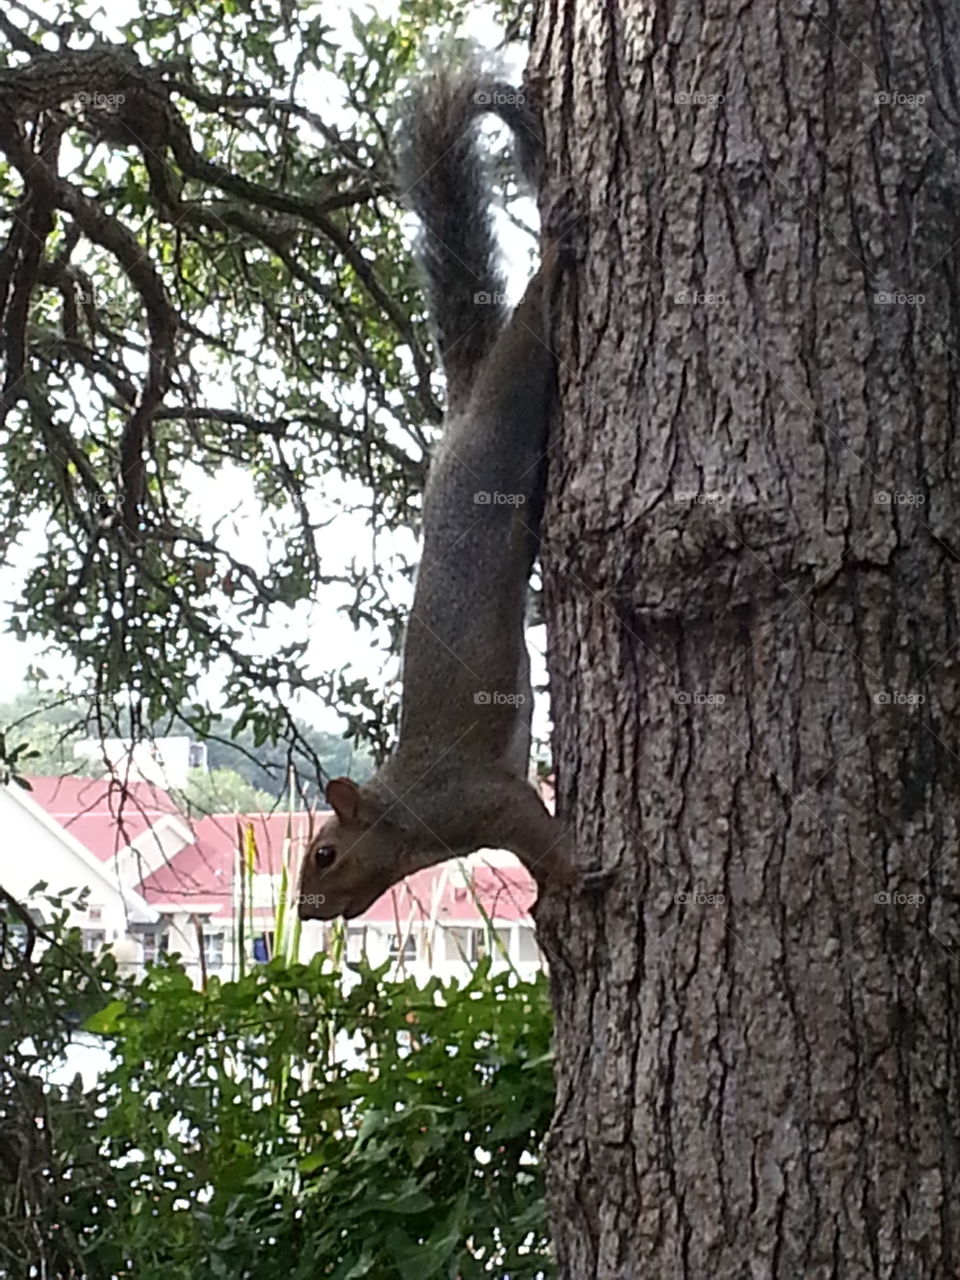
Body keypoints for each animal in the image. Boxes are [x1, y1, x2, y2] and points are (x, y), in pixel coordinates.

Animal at [298, 54, 582, 922]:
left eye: (324, 854)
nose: (302, 910)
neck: (405, 812)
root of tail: (456, 422)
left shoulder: (479, 799)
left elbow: (534, 824)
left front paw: (581, 871)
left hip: (505, 419)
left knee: (530, 331)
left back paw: (552, 257)